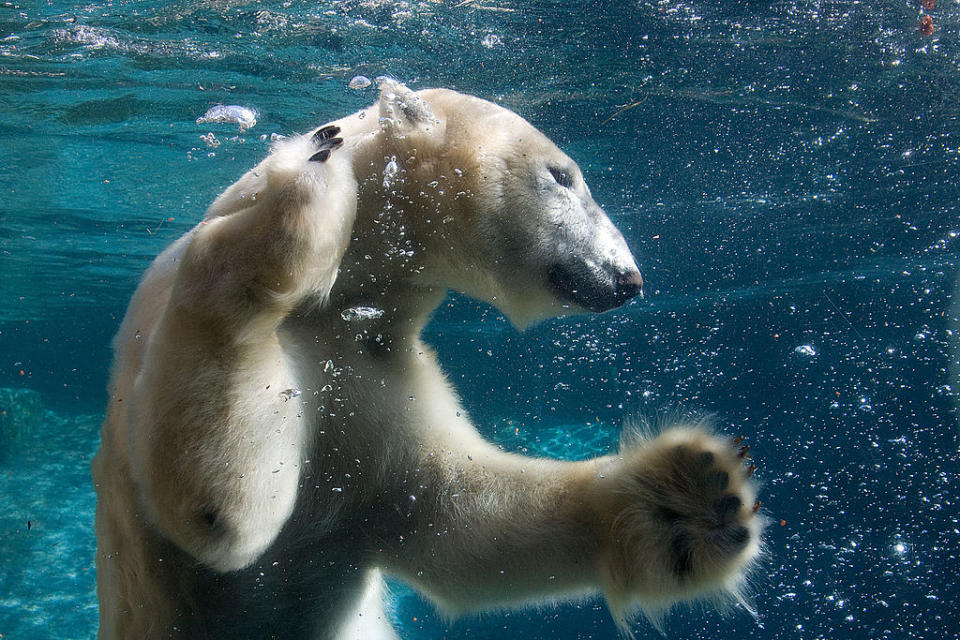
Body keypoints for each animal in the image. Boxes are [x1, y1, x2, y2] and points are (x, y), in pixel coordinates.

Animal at [94, 77, 760, 636]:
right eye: (562, 176)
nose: (629, 279)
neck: (349, 303)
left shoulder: (383, 367)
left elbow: (455, 517)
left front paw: (689, 498)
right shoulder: (172, 329)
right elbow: (222, 508)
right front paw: (304, 178)